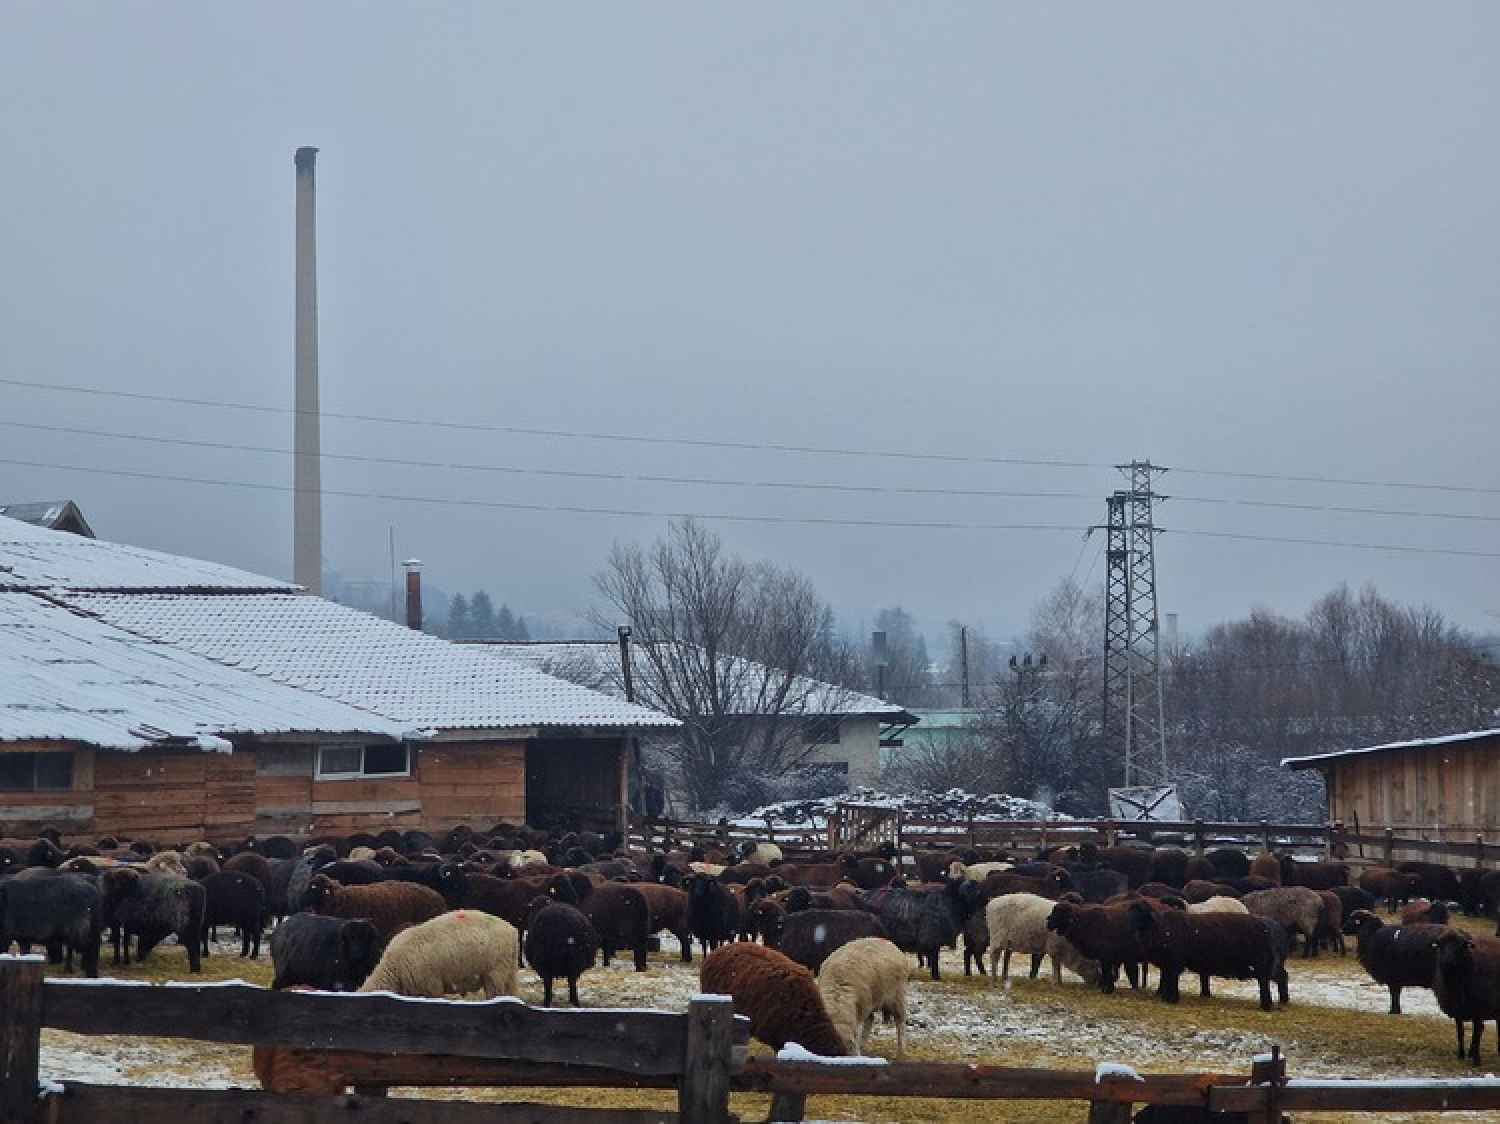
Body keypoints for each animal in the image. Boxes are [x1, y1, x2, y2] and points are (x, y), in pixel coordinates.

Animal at [357, 900, 522, 1002]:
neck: (394, 970)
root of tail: (512, 930)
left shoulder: (431, 985)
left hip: (496, 971)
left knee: (497, 994)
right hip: (509, 971)